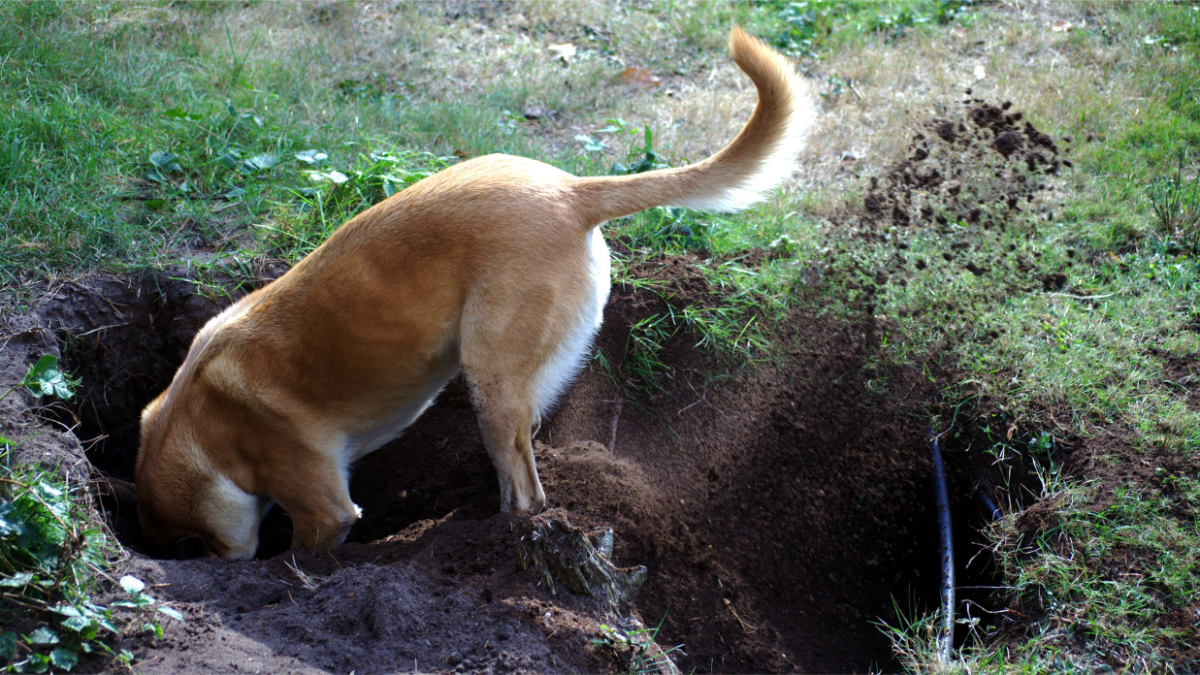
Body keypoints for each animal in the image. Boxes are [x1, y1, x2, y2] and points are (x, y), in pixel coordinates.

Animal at [133, 27, 816, 557]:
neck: (200, 421)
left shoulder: (322, 508)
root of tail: (570, 190)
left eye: (197, 547)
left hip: (489, 377)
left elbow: (305, 550)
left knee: (526, 494)